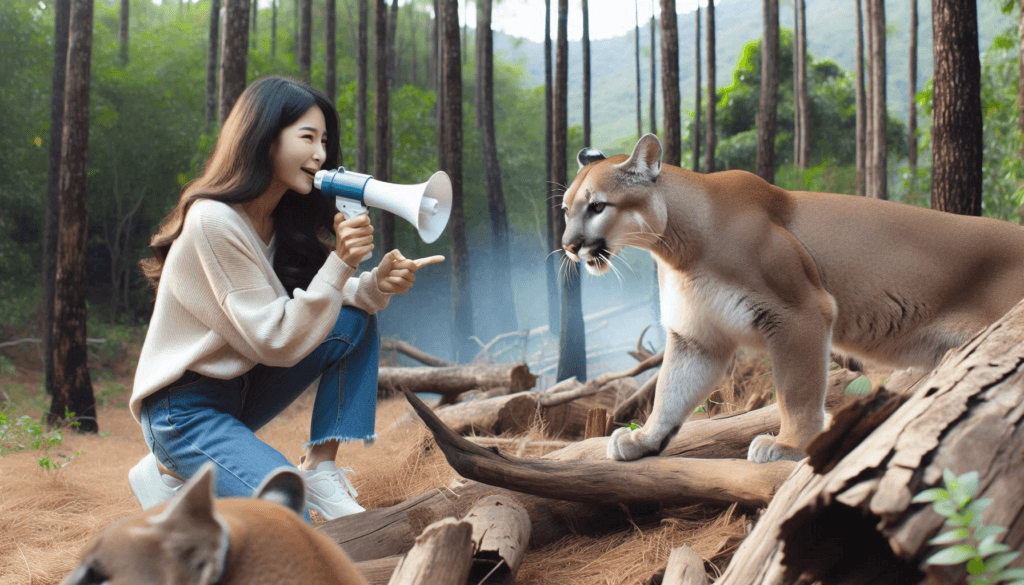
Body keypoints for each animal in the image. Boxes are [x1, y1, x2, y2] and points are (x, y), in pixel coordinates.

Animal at [565, 135, 1024, 465]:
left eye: (598, 207)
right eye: (567, 209)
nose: (569, 246)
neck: (679, 248)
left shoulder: (799, 313)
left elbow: (796, 391)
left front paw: (789, 446)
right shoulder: (698, 337)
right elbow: (669, 392)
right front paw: (645, 439)